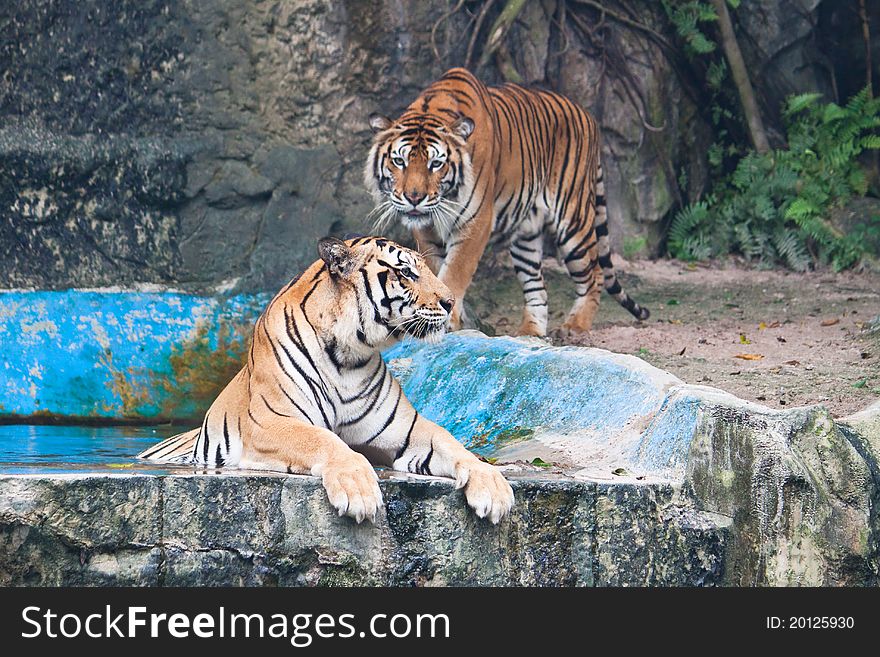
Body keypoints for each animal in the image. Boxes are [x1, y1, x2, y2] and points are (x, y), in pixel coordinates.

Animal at [138, 236, 516, 524]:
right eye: (406, 272)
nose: (450, 303)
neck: (350, 354)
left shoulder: (406, 430)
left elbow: (452, 442)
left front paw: (493, 486)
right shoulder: (271, 422)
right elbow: (324, 439)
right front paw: (358, 488)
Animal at [364, 67, 648, 336]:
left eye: (436, 164)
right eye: (399, 161)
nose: (414, 198)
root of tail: (589, 117)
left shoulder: (476, 222)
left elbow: (455, 272)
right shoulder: (426, 230)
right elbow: (433, 270)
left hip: (573, 223)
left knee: (595, 275)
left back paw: (575, 326)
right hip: (526, 237)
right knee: (538, 288)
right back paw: (529, 333)